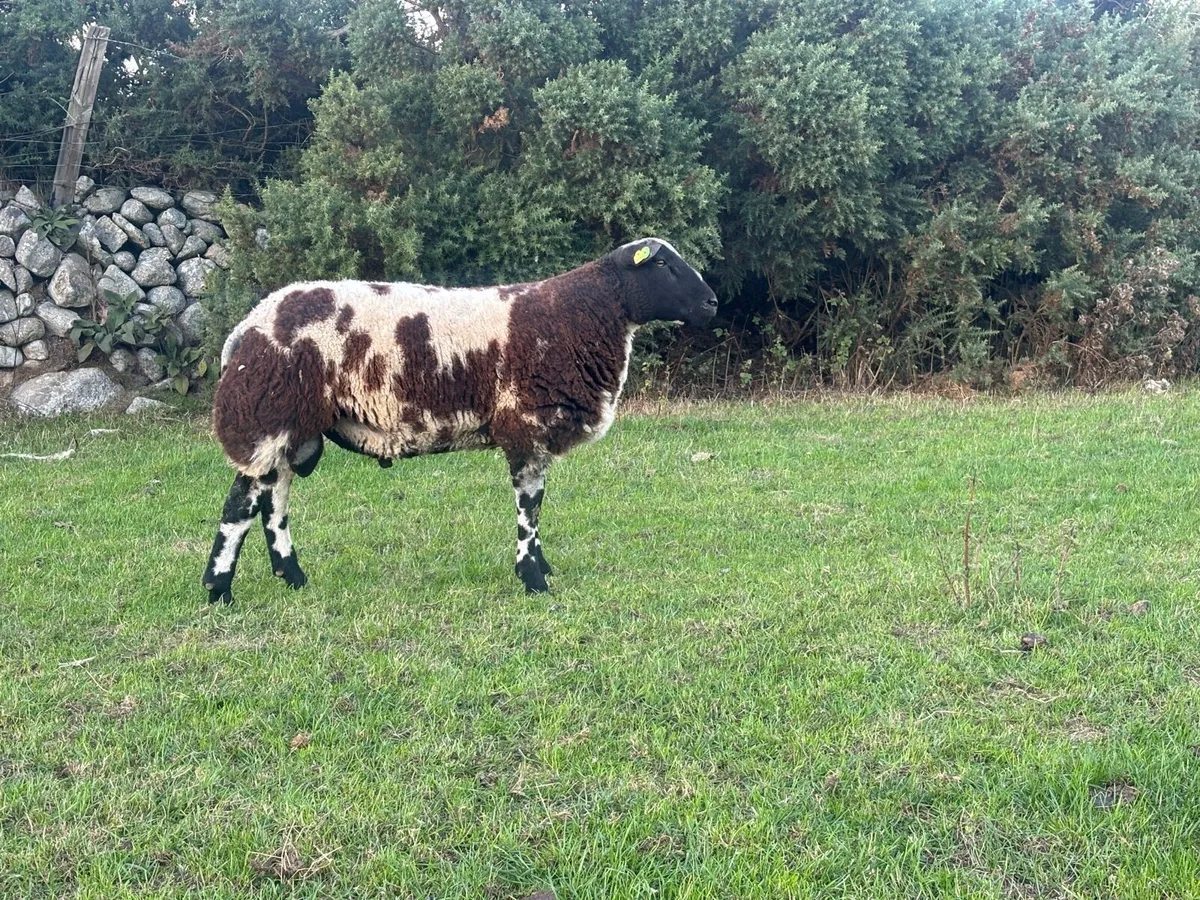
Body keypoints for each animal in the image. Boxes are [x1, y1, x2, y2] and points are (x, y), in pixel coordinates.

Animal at [202, 238, 718, 603]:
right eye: (662, 265)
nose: (712, 303)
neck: (577, 315)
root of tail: (245, 328)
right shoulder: (525, 423)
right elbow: (530, 507)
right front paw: (533, 580)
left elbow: (538, 506)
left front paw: (541, 568)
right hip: (266, 417)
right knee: (239, 505)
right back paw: (219, 589)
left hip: (294, 426)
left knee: (274, 503)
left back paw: (292, 576)